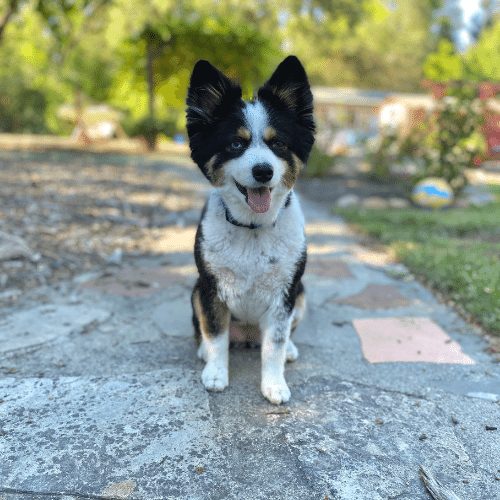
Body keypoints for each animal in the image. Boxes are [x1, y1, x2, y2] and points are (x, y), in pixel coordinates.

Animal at [186, 55, 314, 406]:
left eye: (278, 144)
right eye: (235, 144)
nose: (263, 171)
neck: (253, 229)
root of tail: (245, 337)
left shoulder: (284, 294)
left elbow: (275, 345)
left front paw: (274, 384)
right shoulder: (211, 289)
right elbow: (215, 335)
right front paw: (216, 373)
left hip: (302, 294)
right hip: (195, 292)